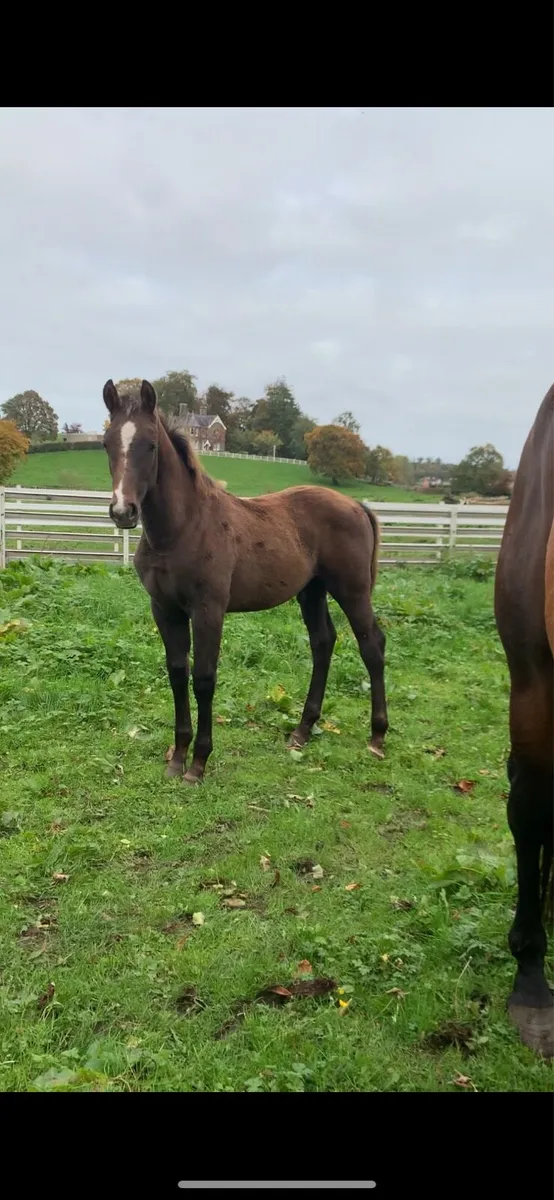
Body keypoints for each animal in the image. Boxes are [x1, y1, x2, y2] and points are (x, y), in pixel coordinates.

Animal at [102, 379, 389, 785]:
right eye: (107, 444)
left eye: (151, 445)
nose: (123, 512)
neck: (183, 528)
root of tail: (356, 505)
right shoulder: (165, 609)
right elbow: (177, 673)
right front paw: (177, 758)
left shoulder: (209, 610)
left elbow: (204, 678)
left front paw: (199, 764)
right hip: (311, 591)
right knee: (323, 643)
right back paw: (301, 731)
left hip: (352, 590)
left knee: (371, 646)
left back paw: (377, 736)